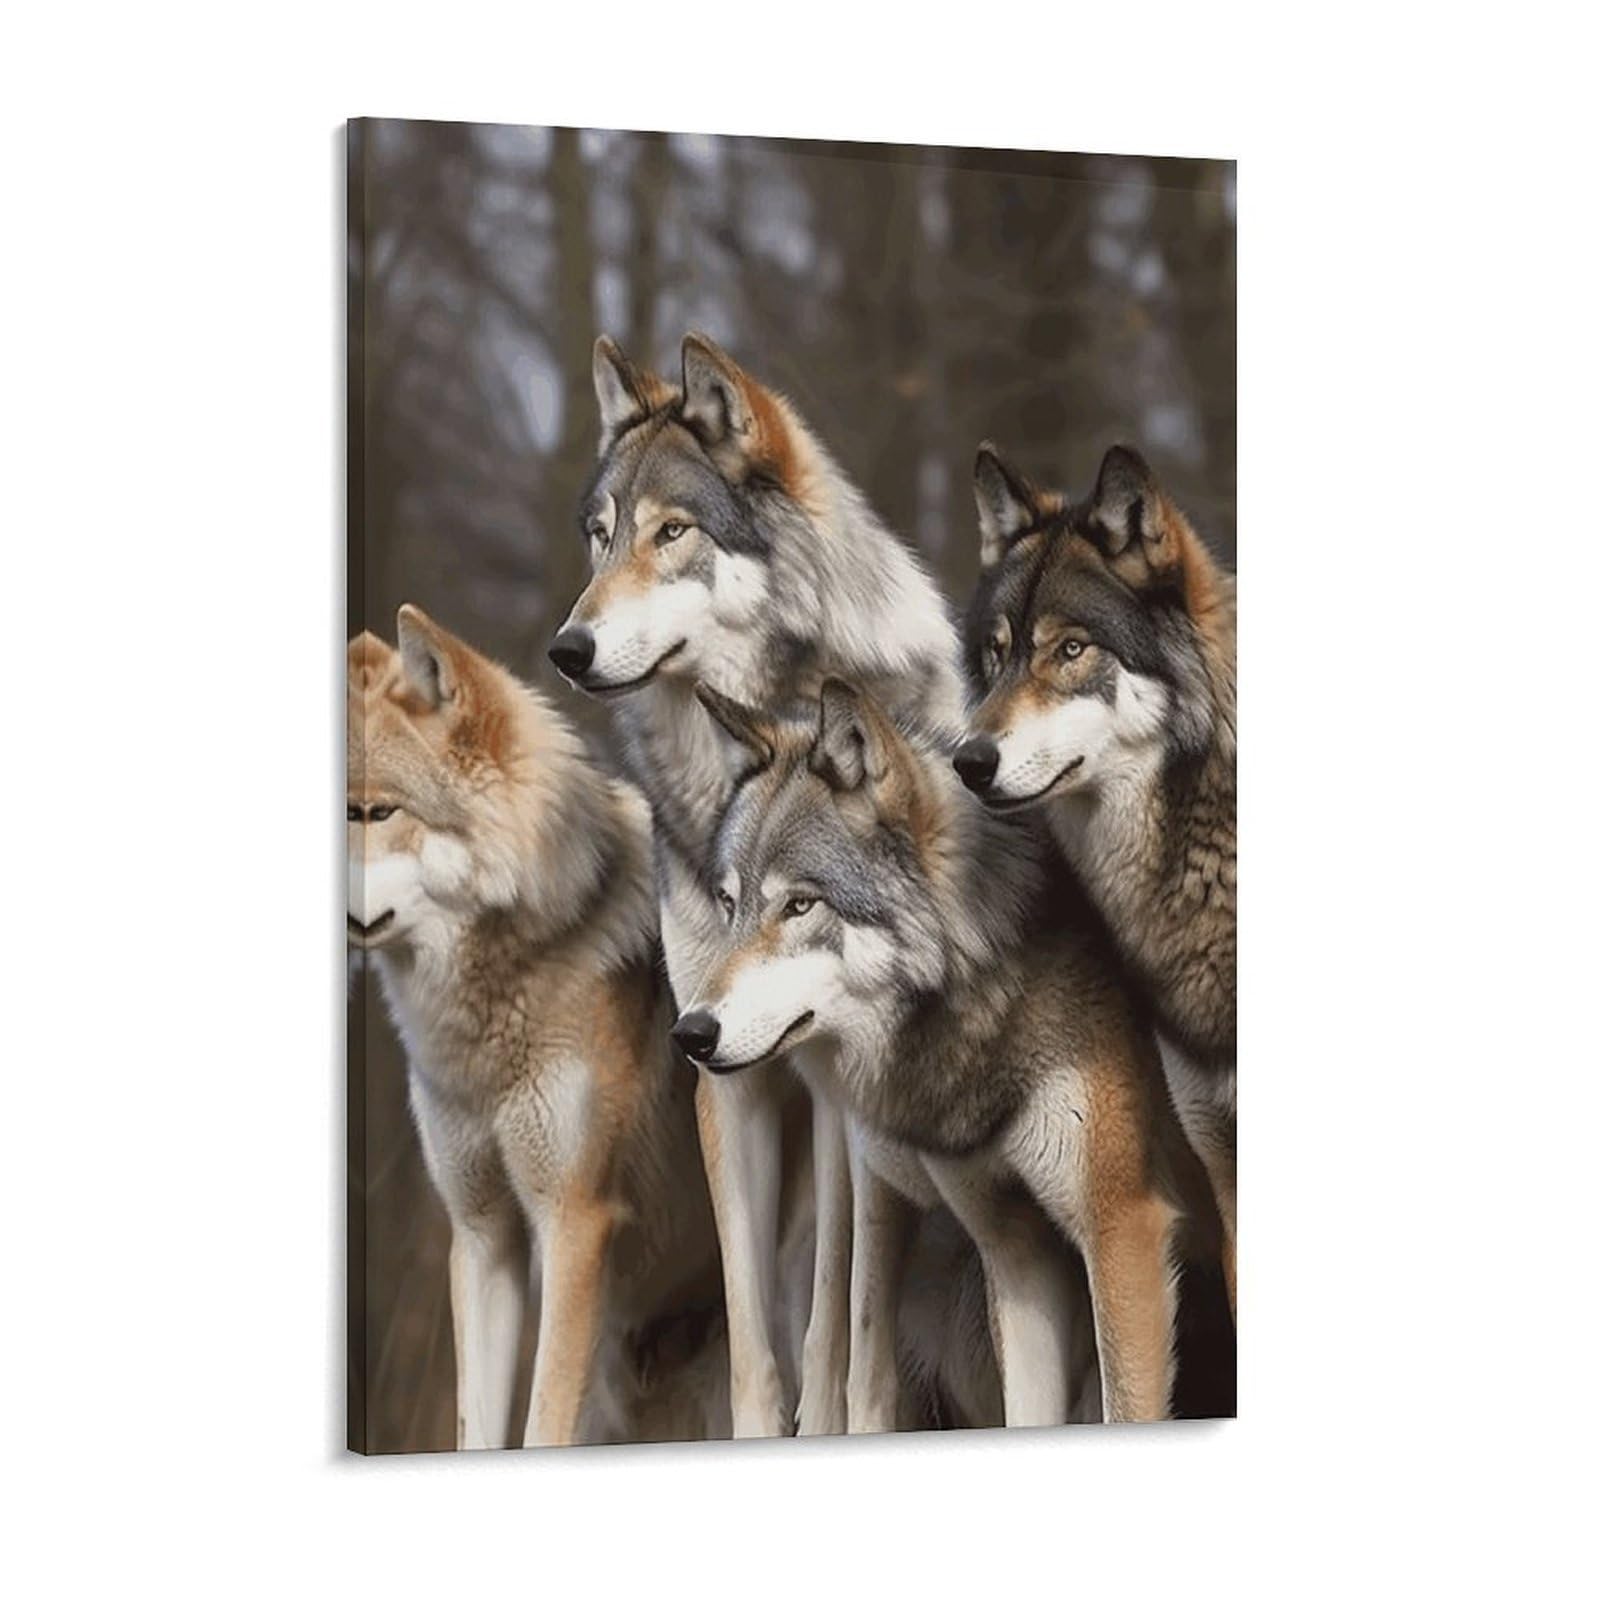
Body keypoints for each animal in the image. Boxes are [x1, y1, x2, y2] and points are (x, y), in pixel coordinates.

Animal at [547, 332, 967, 1436]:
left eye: (673, 532)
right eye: (600, 538)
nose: (566, 648)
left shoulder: (837, 1086)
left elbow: (832, 1308)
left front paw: (830, 1421)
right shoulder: (721, 1066)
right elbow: (752, 1324)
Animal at [674, 678, 1224, 1424]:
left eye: (800, 906)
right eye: (729, 905)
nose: (691, 1032)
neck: (992, 980)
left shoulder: (1123, 1232)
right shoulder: (1016, 1250)